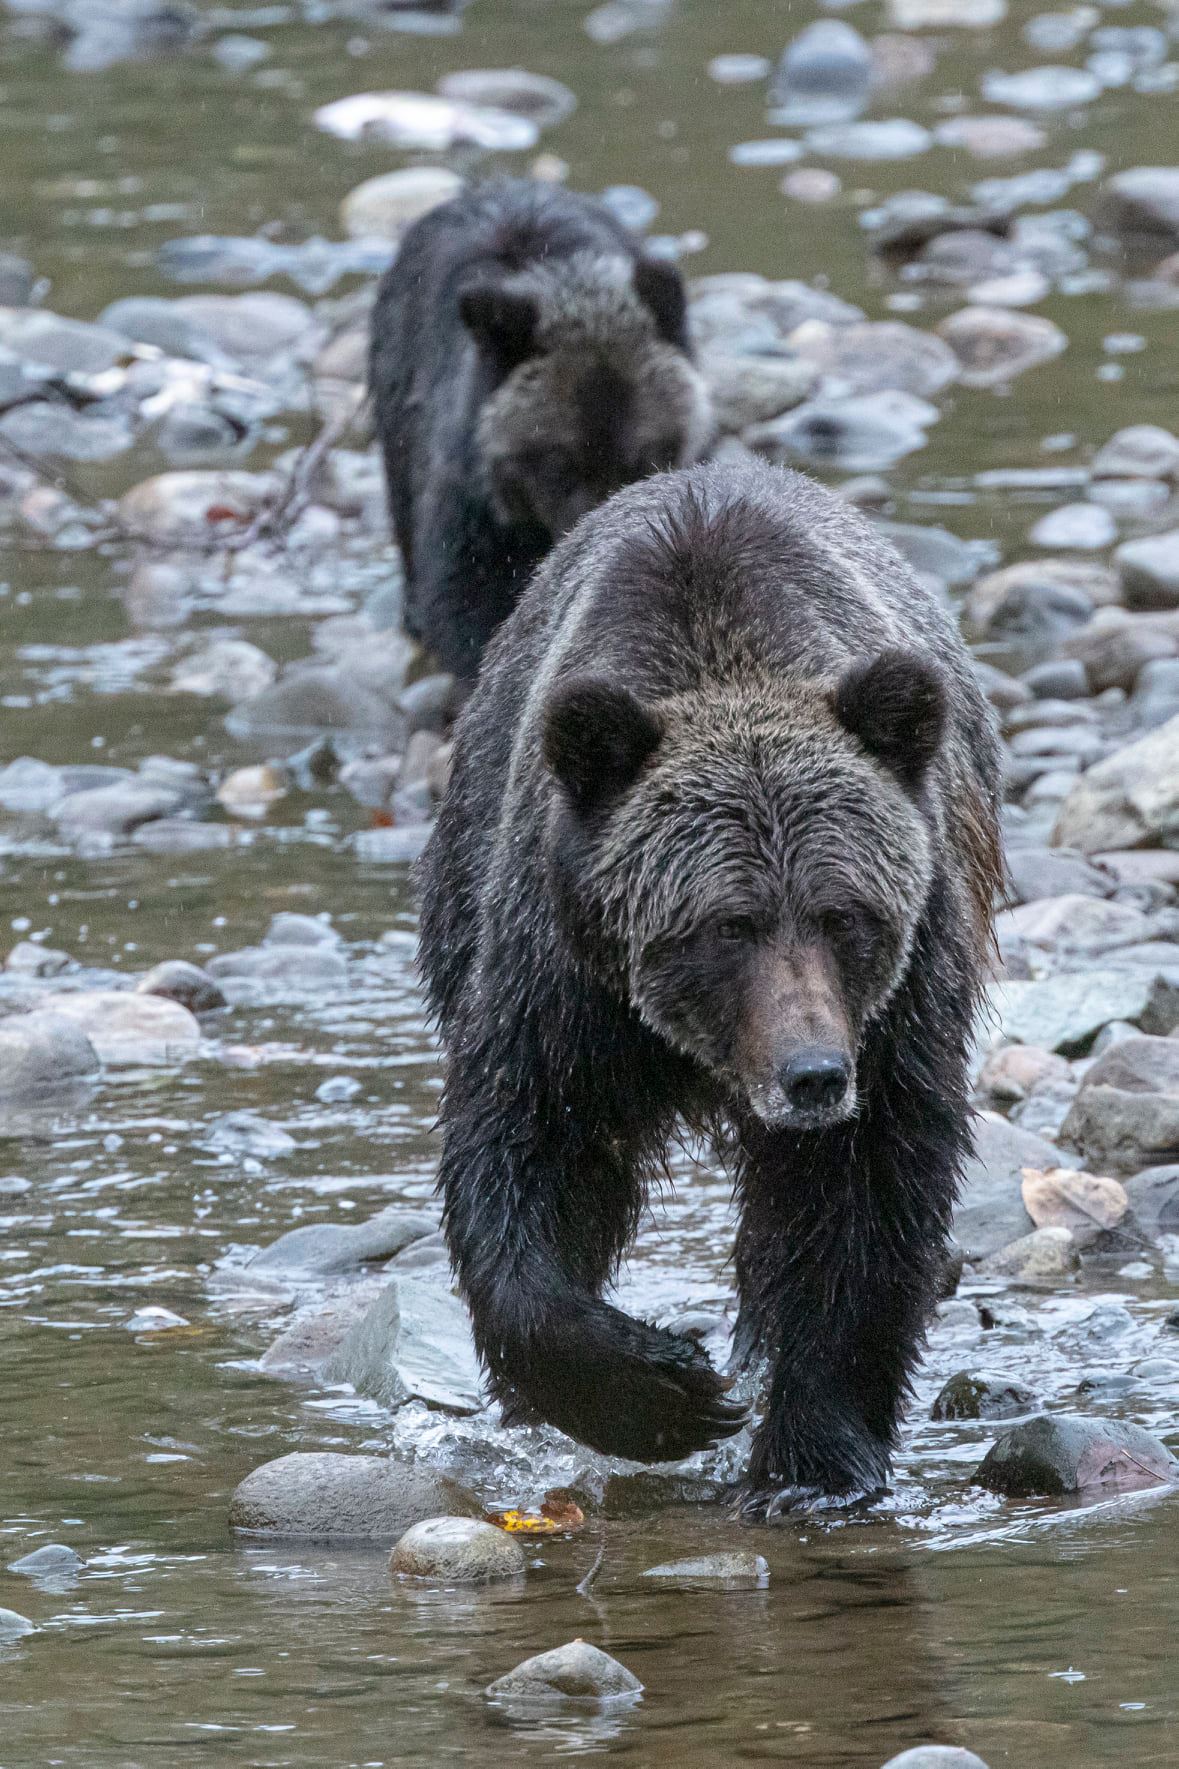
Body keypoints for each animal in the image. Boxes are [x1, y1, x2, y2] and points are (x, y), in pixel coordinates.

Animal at [418, 457, 1003, 1513]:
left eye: (843, 913)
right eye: (727, 923)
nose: (812, 1074)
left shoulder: (897, 1010)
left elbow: (864, 1196)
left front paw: (811, 1465)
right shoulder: (562, 980)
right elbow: (527, 1151)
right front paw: (658, 1389)